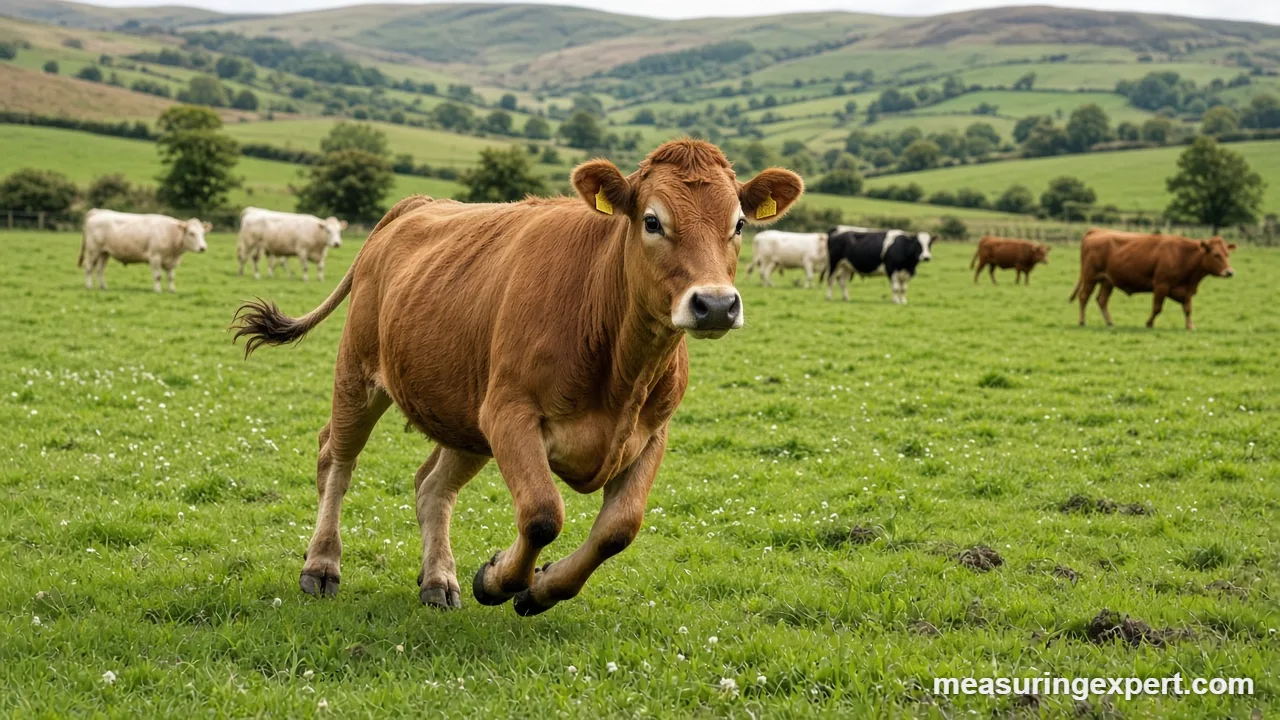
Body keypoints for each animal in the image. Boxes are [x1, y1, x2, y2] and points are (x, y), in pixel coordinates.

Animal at [79, 209, 210, 293]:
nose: (203, 248)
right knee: (89, 267)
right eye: (191, 233)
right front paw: (157, 290)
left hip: (104, 253)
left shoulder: (172, 262)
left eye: (203, 233)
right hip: (93, 250)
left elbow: (171, 277)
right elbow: (158, 276)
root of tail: (98, 212)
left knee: (100, 270)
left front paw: (172, 290)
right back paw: (89, 286)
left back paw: (103, 287)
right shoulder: (155, 257)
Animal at [232, 140, 803, 615]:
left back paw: (439, 580)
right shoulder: (510, 414)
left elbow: (618, 529)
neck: (620, 368)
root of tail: (417, 203)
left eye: (738, 224)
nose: (715, 304)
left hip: (465, 417)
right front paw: (499, 581)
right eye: (652, 221)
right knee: (336, 460)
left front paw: (540, 588)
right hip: (359, 375)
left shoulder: (650, 433)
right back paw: (322, 565)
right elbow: (542, 514)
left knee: (431, 485)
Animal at [1069, 228, 1235, 330]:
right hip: (1090, 277)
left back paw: (1110, 323)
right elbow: (1157, 308)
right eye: (1216, 254)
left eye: (1227, 254)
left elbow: (1188, 309)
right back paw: (1082, 321)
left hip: (1107, 281)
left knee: (1102, 300)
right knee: (1083, 297)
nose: (1229, 272)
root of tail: (1098, 230)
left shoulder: (1187, 290)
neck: (1184, 255)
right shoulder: (1161, 285)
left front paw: (1190, 326)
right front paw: (1149, 323)